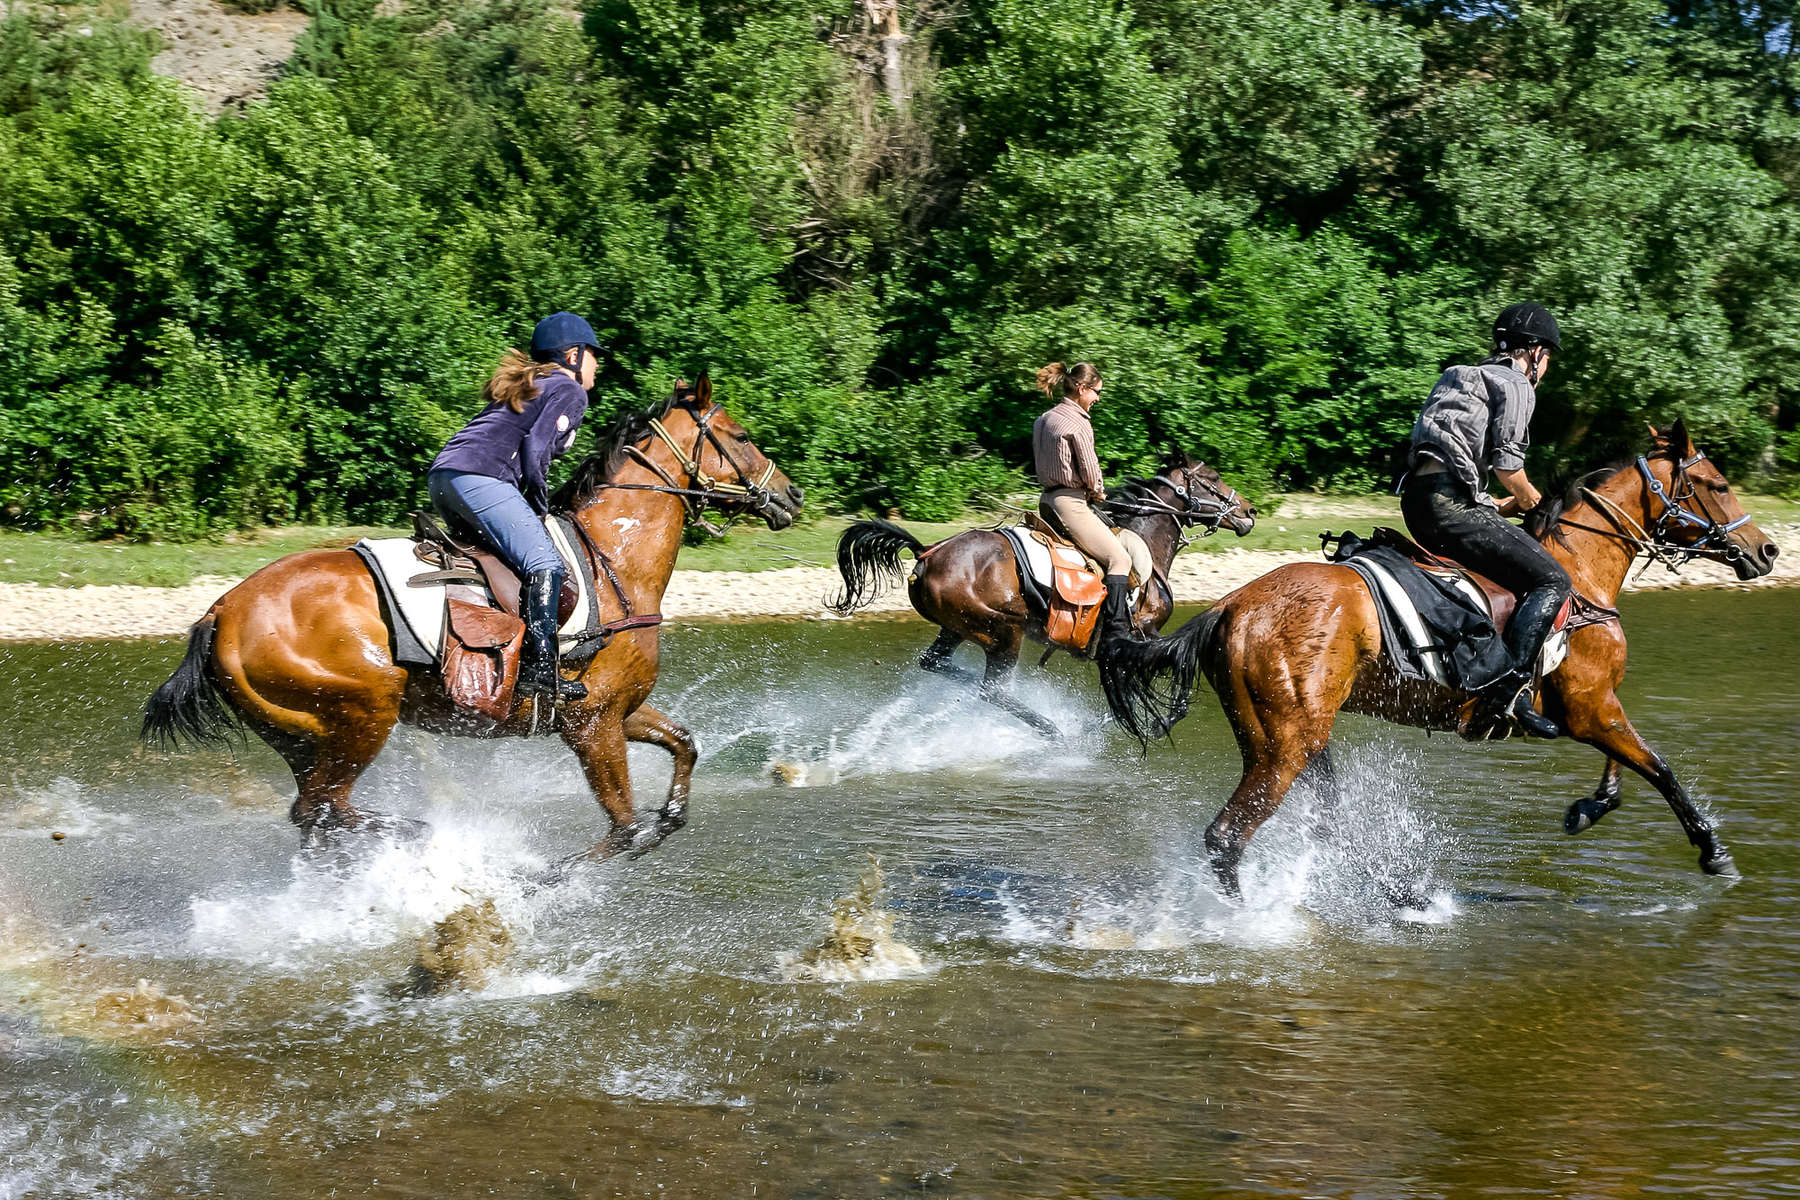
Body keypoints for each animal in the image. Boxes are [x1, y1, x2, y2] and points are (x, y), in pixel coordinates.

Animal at [144, 385, 806, 863]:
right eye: (741, 436)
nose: (792, 496)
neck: (613, 560)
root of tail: (221, 611)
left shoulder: (619, 709)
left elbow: (683, 747)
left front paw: (669, 816)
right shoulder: (592, 725)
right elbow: (624, 829)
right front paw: (549, 879)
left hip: (303, 734)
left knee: (316, 814)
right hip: (364, 713)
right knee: (323, 809)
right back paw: (418, 834)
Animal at [824, 449, 1252, 734]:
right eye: (1214, 479)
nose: (1248, 513)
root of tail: (926, 551)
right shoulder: (1141, 634)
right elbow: (1172, 686)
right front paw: (1148, 722)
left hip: (958, 627)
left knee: (939, 664)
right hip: (1003, 629)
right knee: (991, 689)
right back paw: (1052, 729)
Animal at [1094, 422, 1771, 899]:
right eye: (1715, 485)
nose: (1765, 549)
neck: (1581, 579)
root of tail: (1231, 604)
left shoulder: (1594, 706)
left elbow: (1625, 766)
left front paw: (1589, 808)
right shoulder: (1591, 708)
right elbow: (1659, 767)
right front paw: (1712, 852)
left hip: (1290, 738)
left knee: (1323, 822)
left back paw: (1394, 890)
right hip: (1285, 746)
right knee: (1226, 836)